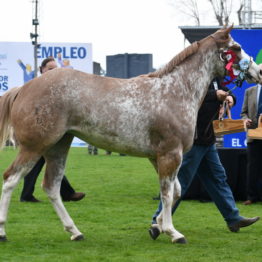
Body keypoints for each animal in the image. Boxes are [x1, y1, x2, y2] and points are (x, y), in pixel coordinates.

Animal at [0, 25, 260, 244]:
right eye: (236, 48)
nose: (257, 71)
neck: (175, 90)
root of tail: (23, 88)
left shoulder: (158, 157)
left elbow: (174, 191)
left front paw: (157, 226)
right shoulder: (170, 154)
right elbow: (167, 194)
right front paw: (173, 232)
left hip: (58, 146)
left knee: (51, 187)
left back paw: (75, 232)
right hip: (35, 146)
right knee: (11, 179)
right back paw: (3, 232)